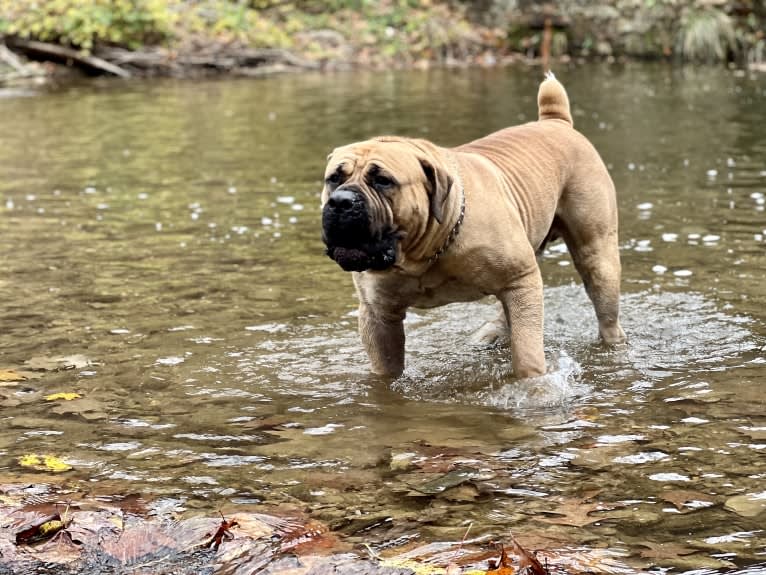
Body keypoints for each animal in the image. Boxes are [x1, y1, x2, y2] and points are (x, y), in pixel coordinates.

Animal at [320, 73, 628, 378]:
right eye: (334, 178)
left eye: (383, 181)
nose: (341, 202)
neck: (426, 253)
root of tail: (555, 120)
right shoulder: (378, 315)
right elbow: (386, 369)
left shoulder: (520, 277)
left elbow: (528, 355)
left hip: (597, 258)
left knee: (604, 313)